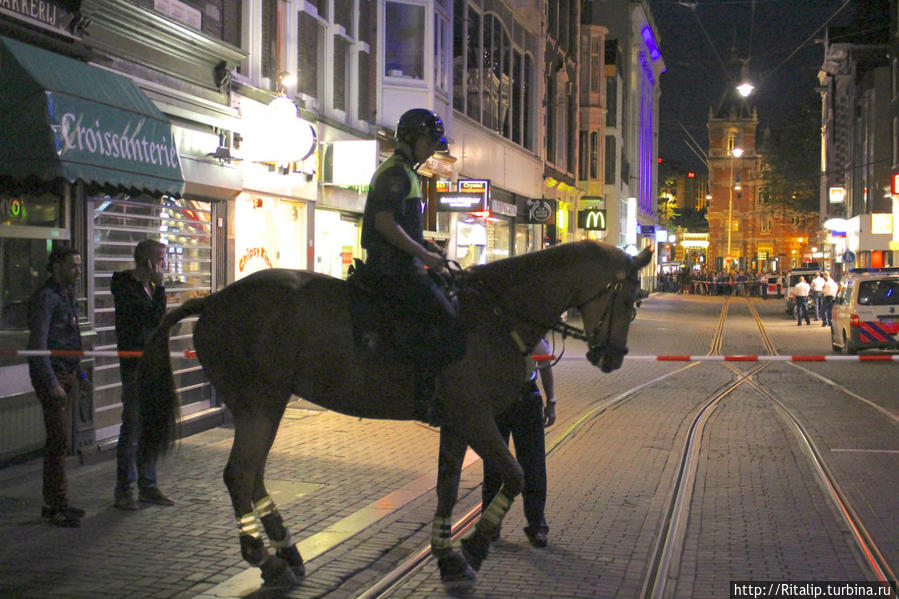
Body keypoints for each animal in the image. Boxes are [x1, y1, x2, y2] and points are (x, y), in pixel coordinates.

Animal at [137, 240, 652, 592]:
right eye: (630, 301)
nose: (613, 357)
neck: (495, 314)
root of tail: (213, 300)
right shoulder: (475, 416)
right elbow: (515, 474)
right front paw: (474, 547)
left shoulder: (457, 423)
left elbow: (448, 486)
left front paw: (447, 554)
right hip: (258, 402)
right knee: (239, 474)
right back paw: (267, 558)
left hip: (267, 404)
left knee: (253, 475)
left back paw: (286, 549)